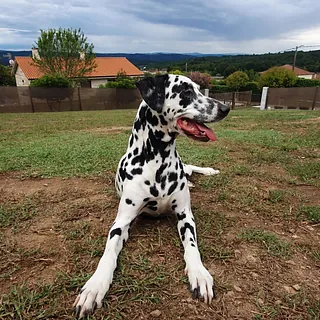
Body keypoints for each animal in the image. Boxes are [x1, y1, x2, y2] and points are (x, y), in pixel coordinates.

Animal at [74, 74, 229, 316]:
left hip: (187, 169)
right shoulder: (122, 222)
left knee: (192, 168)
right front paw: (95, 285)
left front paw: (199, 273)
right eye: (186, 92)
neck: (157, 161)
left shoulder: (185, 216)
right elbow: (109, 252)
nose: (225, 108)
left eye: (199, 89)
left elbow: (192, 246)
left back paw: (207, 173)